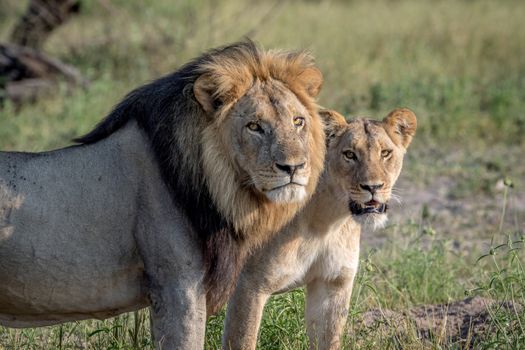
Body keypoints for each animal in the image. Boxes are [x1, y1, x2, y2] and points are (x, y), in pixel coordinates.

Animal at [223, 108, 416, 348]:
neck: (326, 222)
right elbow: (242, 340)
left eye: (386, 153)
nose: (373, 187)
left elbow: (329, 340)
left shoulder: (332, 285)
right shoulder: (248, 286)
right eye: (349, 154)